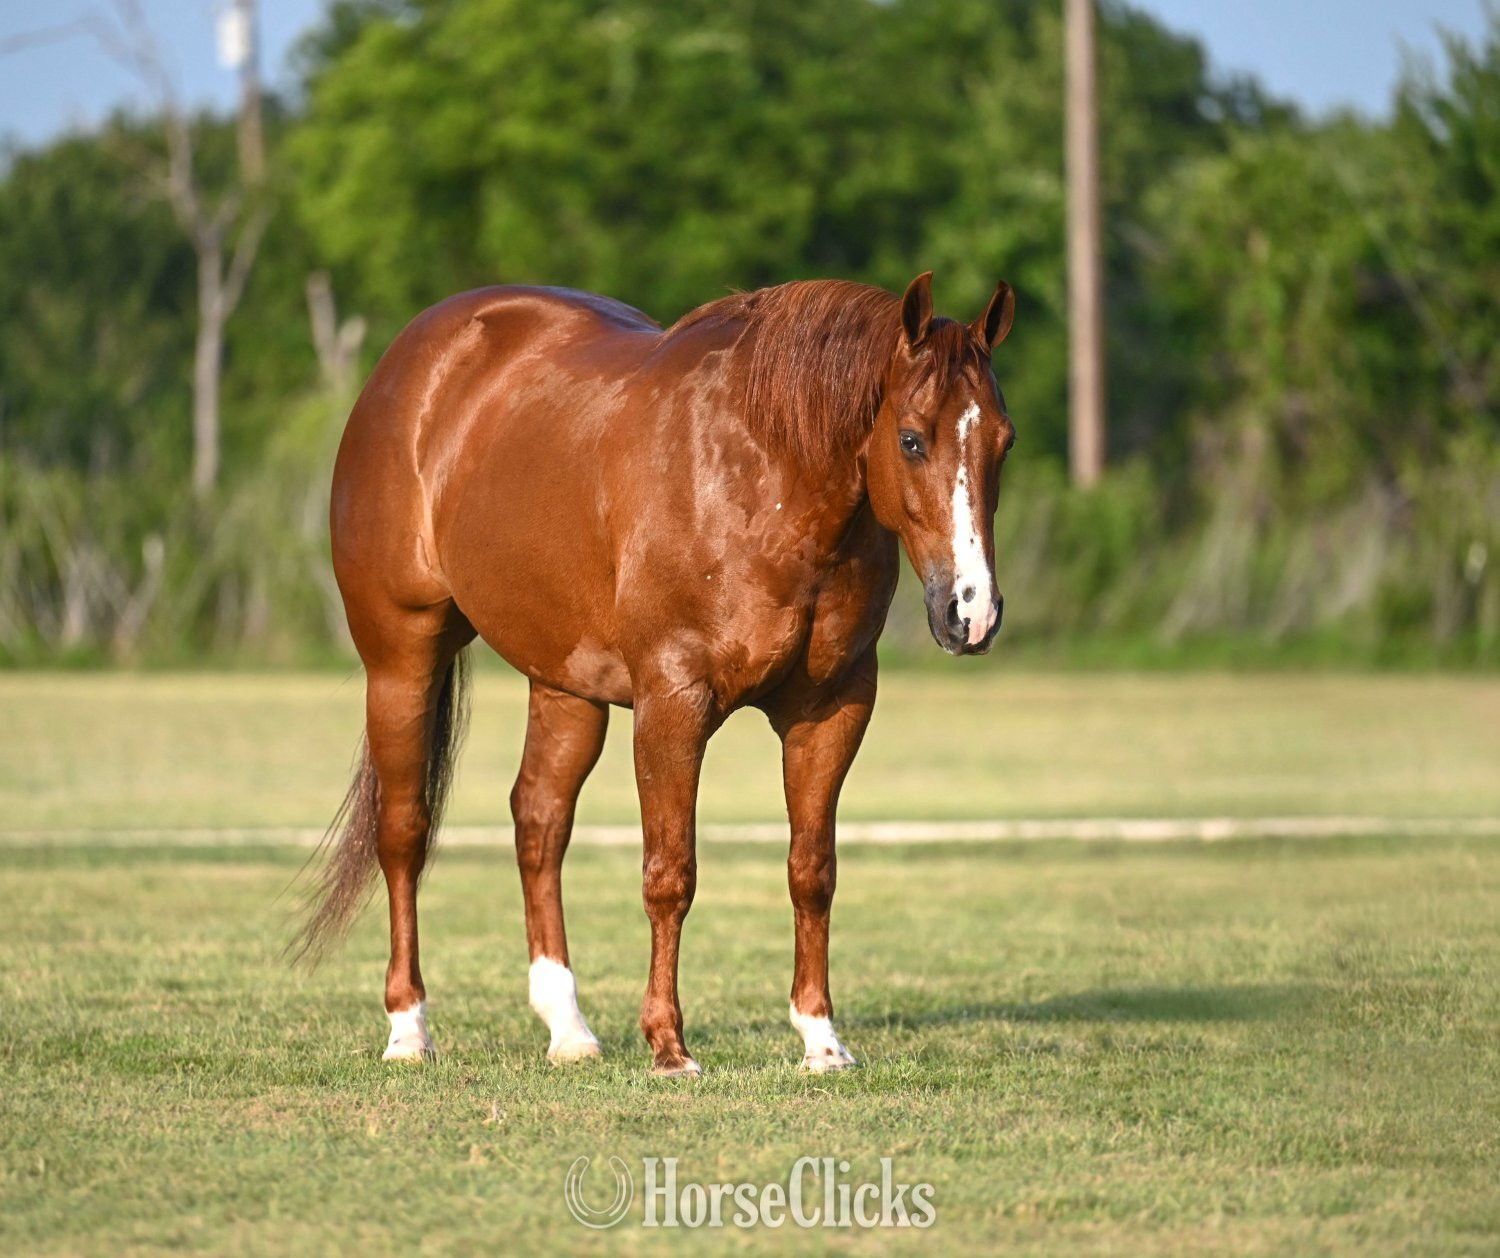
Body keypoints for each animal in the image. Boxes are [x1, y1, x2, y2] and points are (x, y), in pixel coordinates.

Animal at [297, 271, 1017, 1075]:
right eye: (911, 439)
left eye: (1004, 440)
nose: (972, 610)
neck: (764, 475)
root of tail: (409, 364)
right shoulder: (673, 703)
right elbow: (670, 875)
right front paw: (669, 1045)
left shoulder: (833, 708)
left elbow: (812, 871)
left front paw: (821, 1039)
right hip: (401, 658)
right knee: (404, 831)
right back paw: (408, 1027)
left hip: (565, 682)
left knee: (539, 822)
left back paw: (568, 1028)